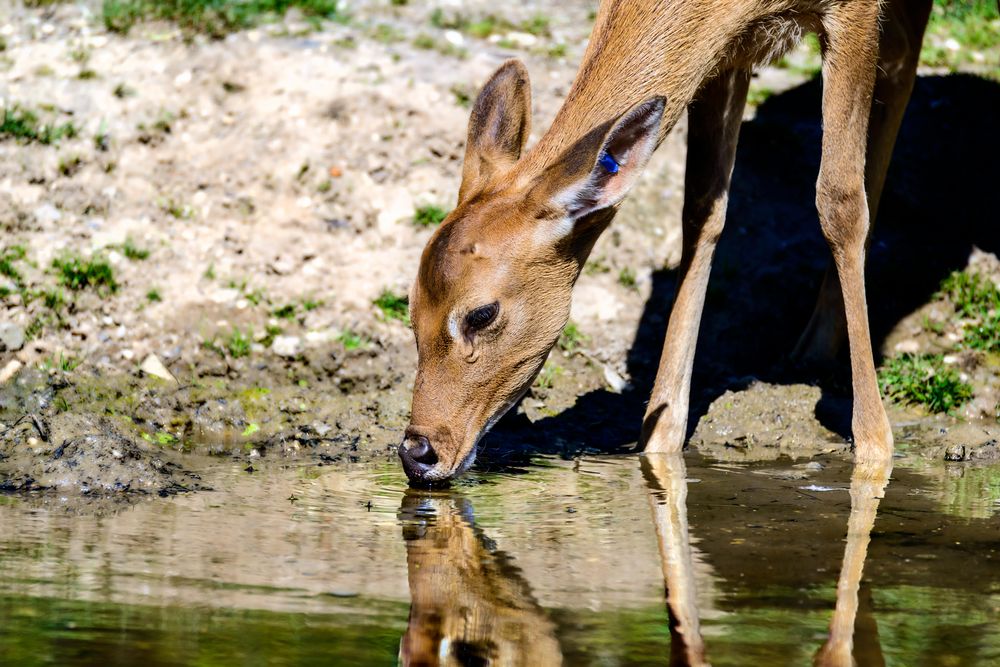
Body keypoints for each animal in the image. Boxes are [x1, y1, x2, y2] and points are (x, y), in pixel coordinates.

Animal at [396, 0, 928, 482]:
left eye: (482, 314)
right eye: (411, 307)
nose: (417, 452)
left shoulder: (854, 11)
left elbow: (839, 202)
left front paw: (875, 447)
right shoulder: (728, 51)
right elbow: (702, 209)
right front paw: (660, 439)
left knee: (901, 70)